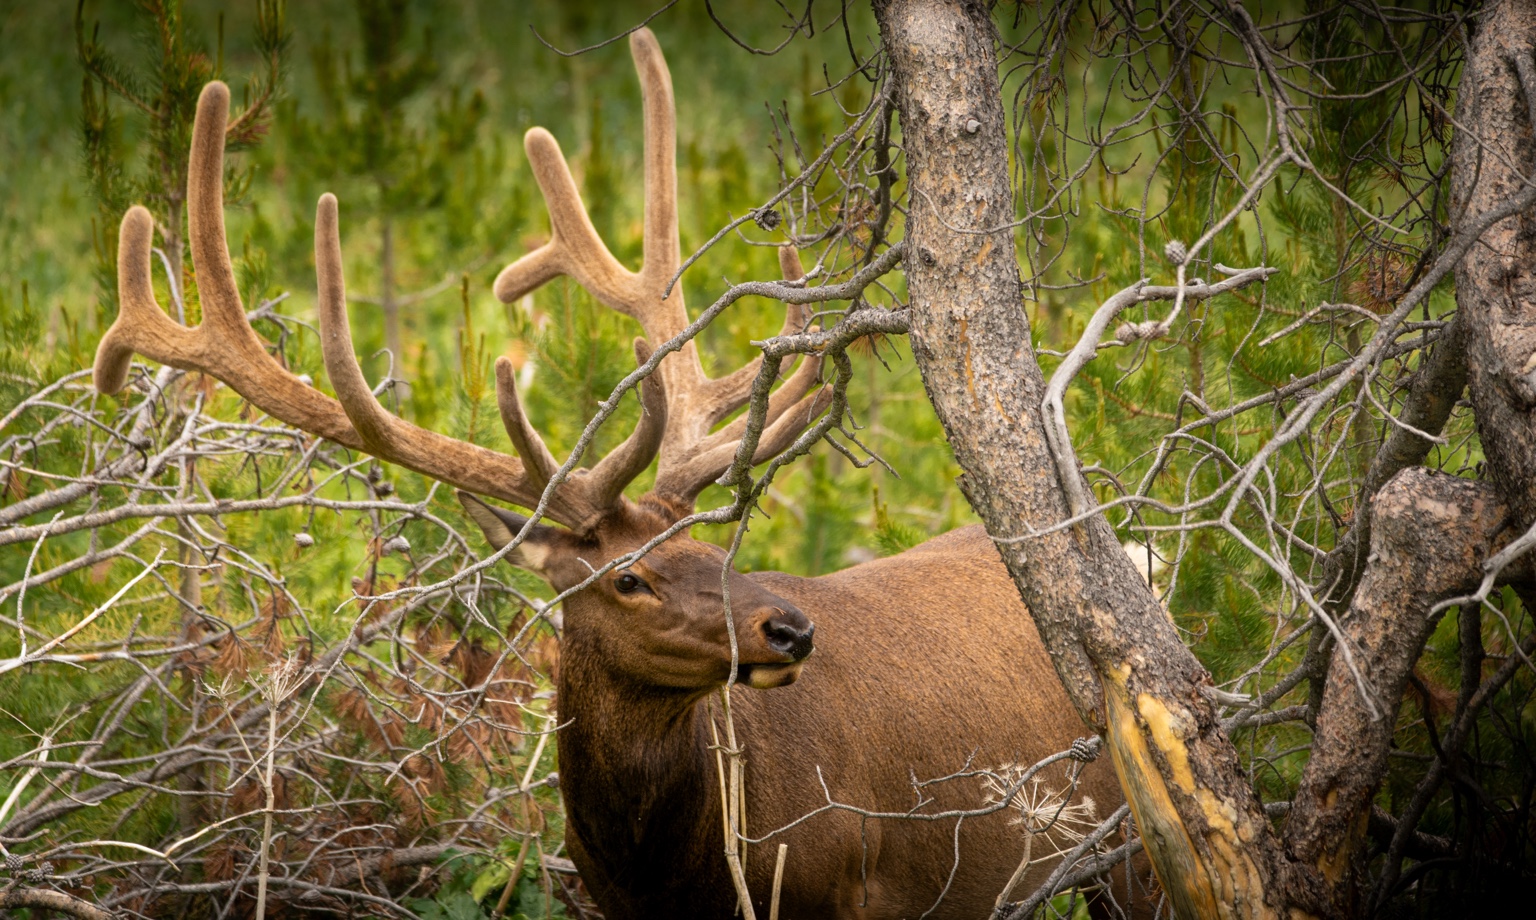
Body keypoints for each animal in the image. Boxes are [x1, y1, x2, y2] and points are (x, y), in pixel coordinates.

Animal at [92, 28, 1139, 920]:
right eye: (629, 577)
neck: (674, 873)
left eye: (709, 548)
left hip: (1120, 847)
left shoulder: (857, 889)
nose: (792, 629)